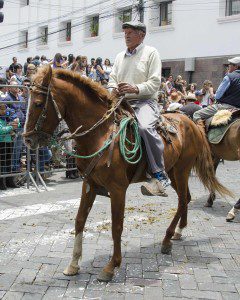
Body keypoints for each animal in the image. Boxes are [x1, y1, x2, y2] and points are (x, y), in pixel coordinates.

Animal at [23, 67, 230, 282]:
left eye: (38, 103)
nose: (27, 140)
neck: (101, 134)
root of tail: (191, 122)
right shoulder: (88, 184)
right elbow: (79, 220)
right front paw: (73, 264)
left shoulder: (117, 189)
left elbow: (116, 226)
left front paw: (111, 266)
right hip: (174, 173)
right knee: (186, 198)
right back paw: (178, 232)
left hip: (181, 172)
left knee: (182, 201)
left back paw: (166, 239)